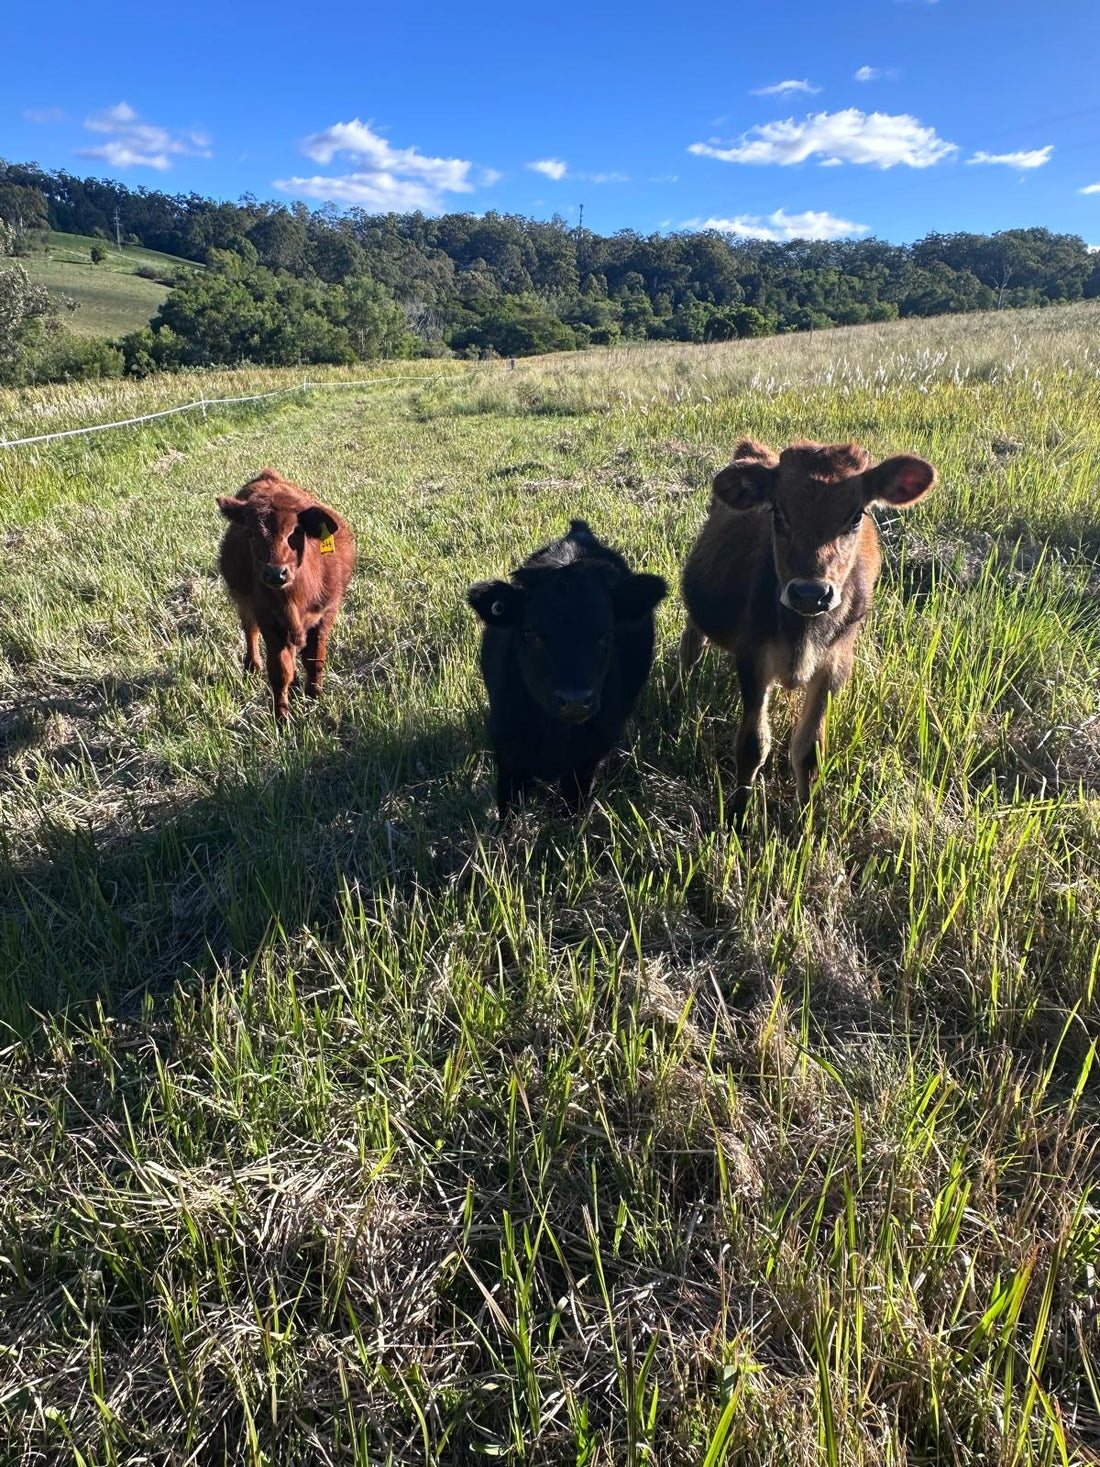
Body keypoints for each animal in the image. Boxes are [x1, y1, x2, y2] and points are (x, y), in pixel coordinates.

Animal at [216, 469, 356, 721]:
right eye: (249, 533)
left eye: (296, 531)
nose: (275, 573)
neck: (296, 597)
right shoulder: (269, 620)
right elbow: (280, 671)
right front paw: (281, 717)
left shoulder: (326, 615)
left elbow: (314, 659)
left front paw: (314, 698)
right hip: (244, 601)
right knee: (250, 631)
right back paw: (253, 666)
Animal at [467, 519, 667, 817]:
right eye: (531, 633)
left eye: (606, 634)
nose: (574, 701)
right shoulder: (507, 754)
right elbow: (508, 812)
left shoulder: (588, 759)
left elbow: (573, 807)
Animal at [679, 439, 935, 826]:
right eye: (778, 513)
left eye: (855, 516)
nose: (810, 593)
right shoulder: (753, 661)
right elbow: (753, 745)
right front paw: (738, 814)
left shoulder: (835, 666)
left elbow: (809, 752)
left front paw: (807, 822)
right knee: (691, 644)